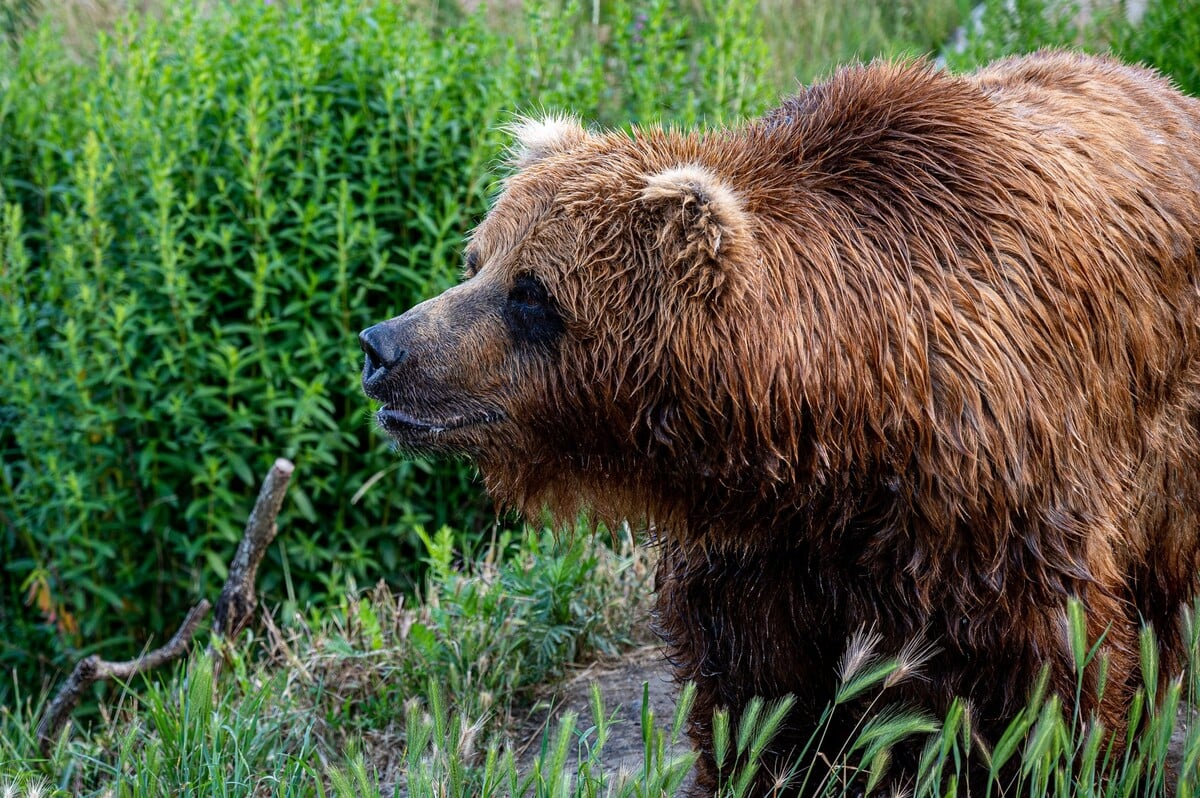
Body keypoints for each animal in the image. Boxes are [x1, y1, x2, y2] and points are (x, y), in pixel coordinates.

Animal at [360, 52, 1200, 792]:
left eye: (532, 293)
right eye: (477, 261)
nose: (382, 346)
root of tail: (1163, 86)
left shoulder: (994, 506)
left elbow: (1055, 678)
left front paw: (1079, 763)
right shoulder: (760, 552)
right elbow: (758, 700)